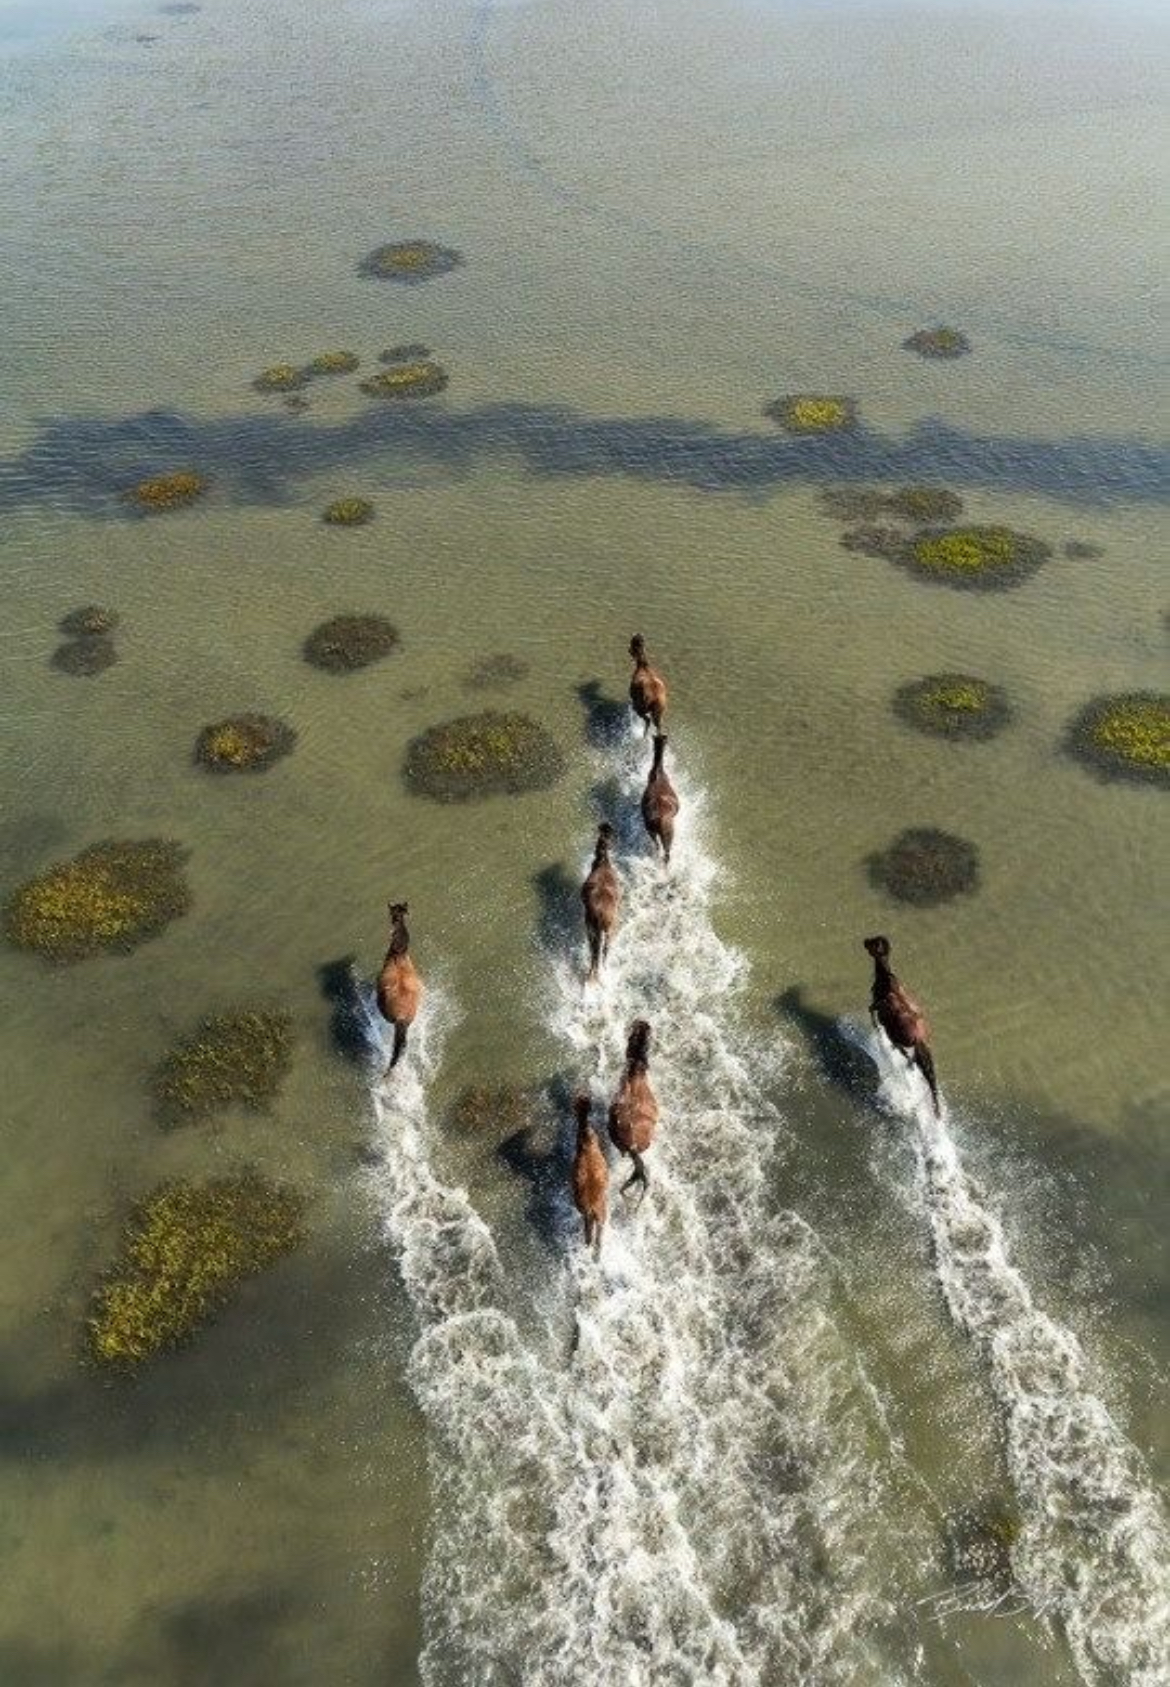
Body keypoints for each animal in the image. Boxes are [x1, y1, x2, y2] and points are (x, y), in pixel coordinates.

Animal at [863, 935, 940, 1114]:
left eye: (873, 943)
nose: (864, 941)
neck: (885, 979)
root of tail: (919, 1037)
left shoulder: (876, 1006)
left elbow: (871, 1013)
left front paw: (875, 1028)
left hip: (897, 1036)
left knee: (904, 1053)